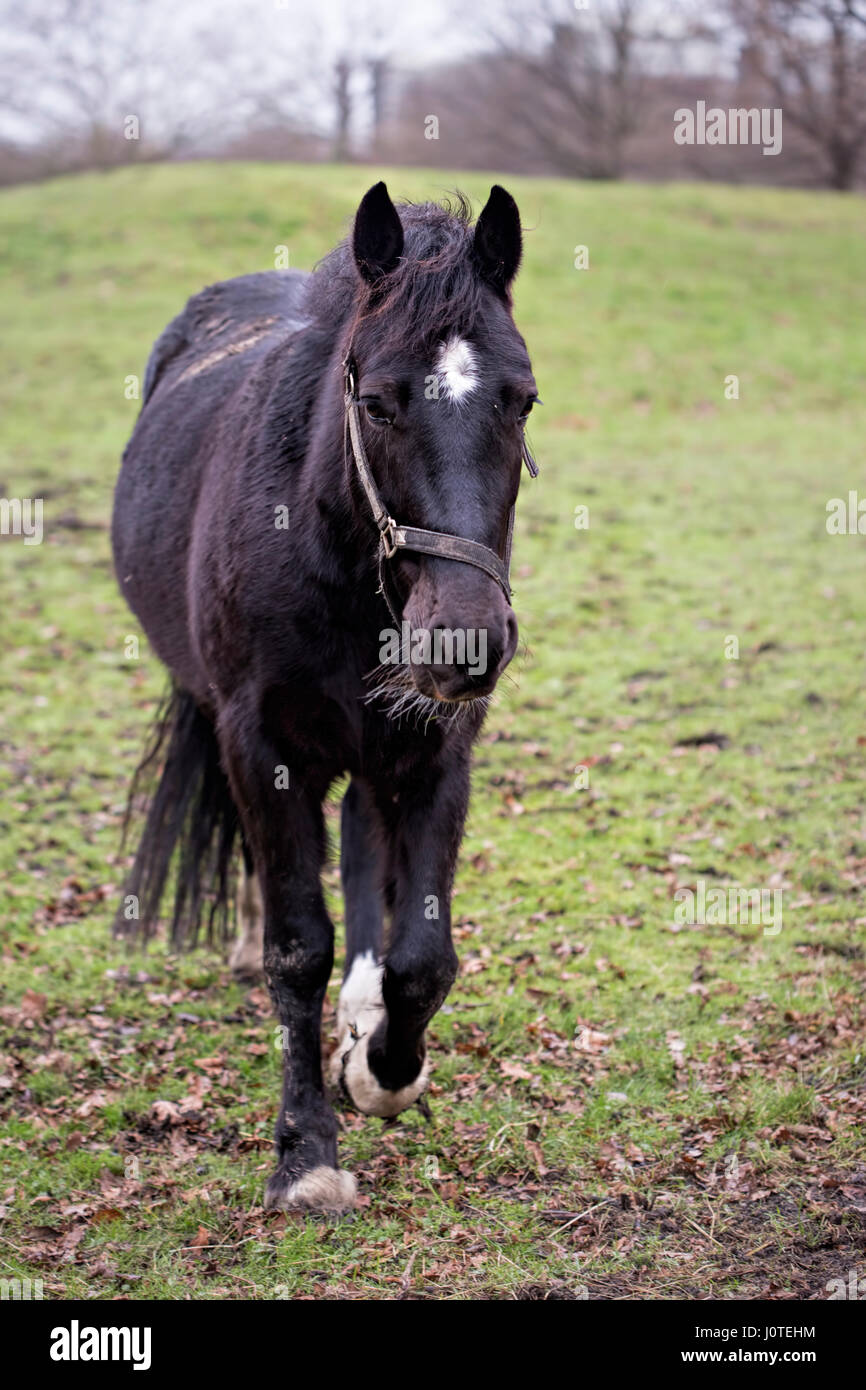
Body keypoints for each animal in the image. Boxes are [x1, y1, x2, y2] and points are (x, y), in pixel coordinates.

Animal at [111, 181, 538, 1213]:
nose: (464, 638)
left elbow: (424, 957)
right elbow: (298, 947)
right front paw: (305, 1152)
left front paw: (381, 1067)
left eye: (523, 399)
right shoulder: (261, 744)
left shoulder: (434, 751)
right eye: (377, 402)